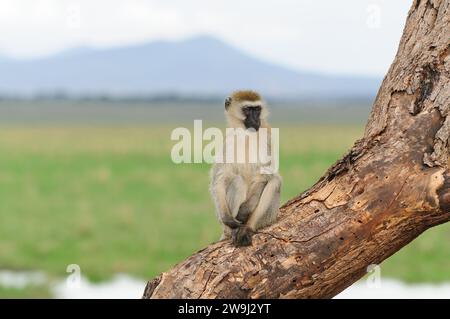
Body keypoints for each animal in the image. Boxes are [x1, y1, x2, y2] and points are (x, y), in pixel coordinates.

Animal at [210, 90, 282, 248]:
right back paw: (233, 230)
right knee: (236, 180)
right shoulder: (228, 140)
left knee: (275, 181)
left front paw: (245, 210)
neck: (247, 134)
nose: (256, 120)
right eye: (248, 109)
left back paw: (247, 228)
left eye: (257, 109)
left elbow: (264, 174)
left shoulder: (267, 135)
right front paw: (226, 217)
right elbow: (220, 178)